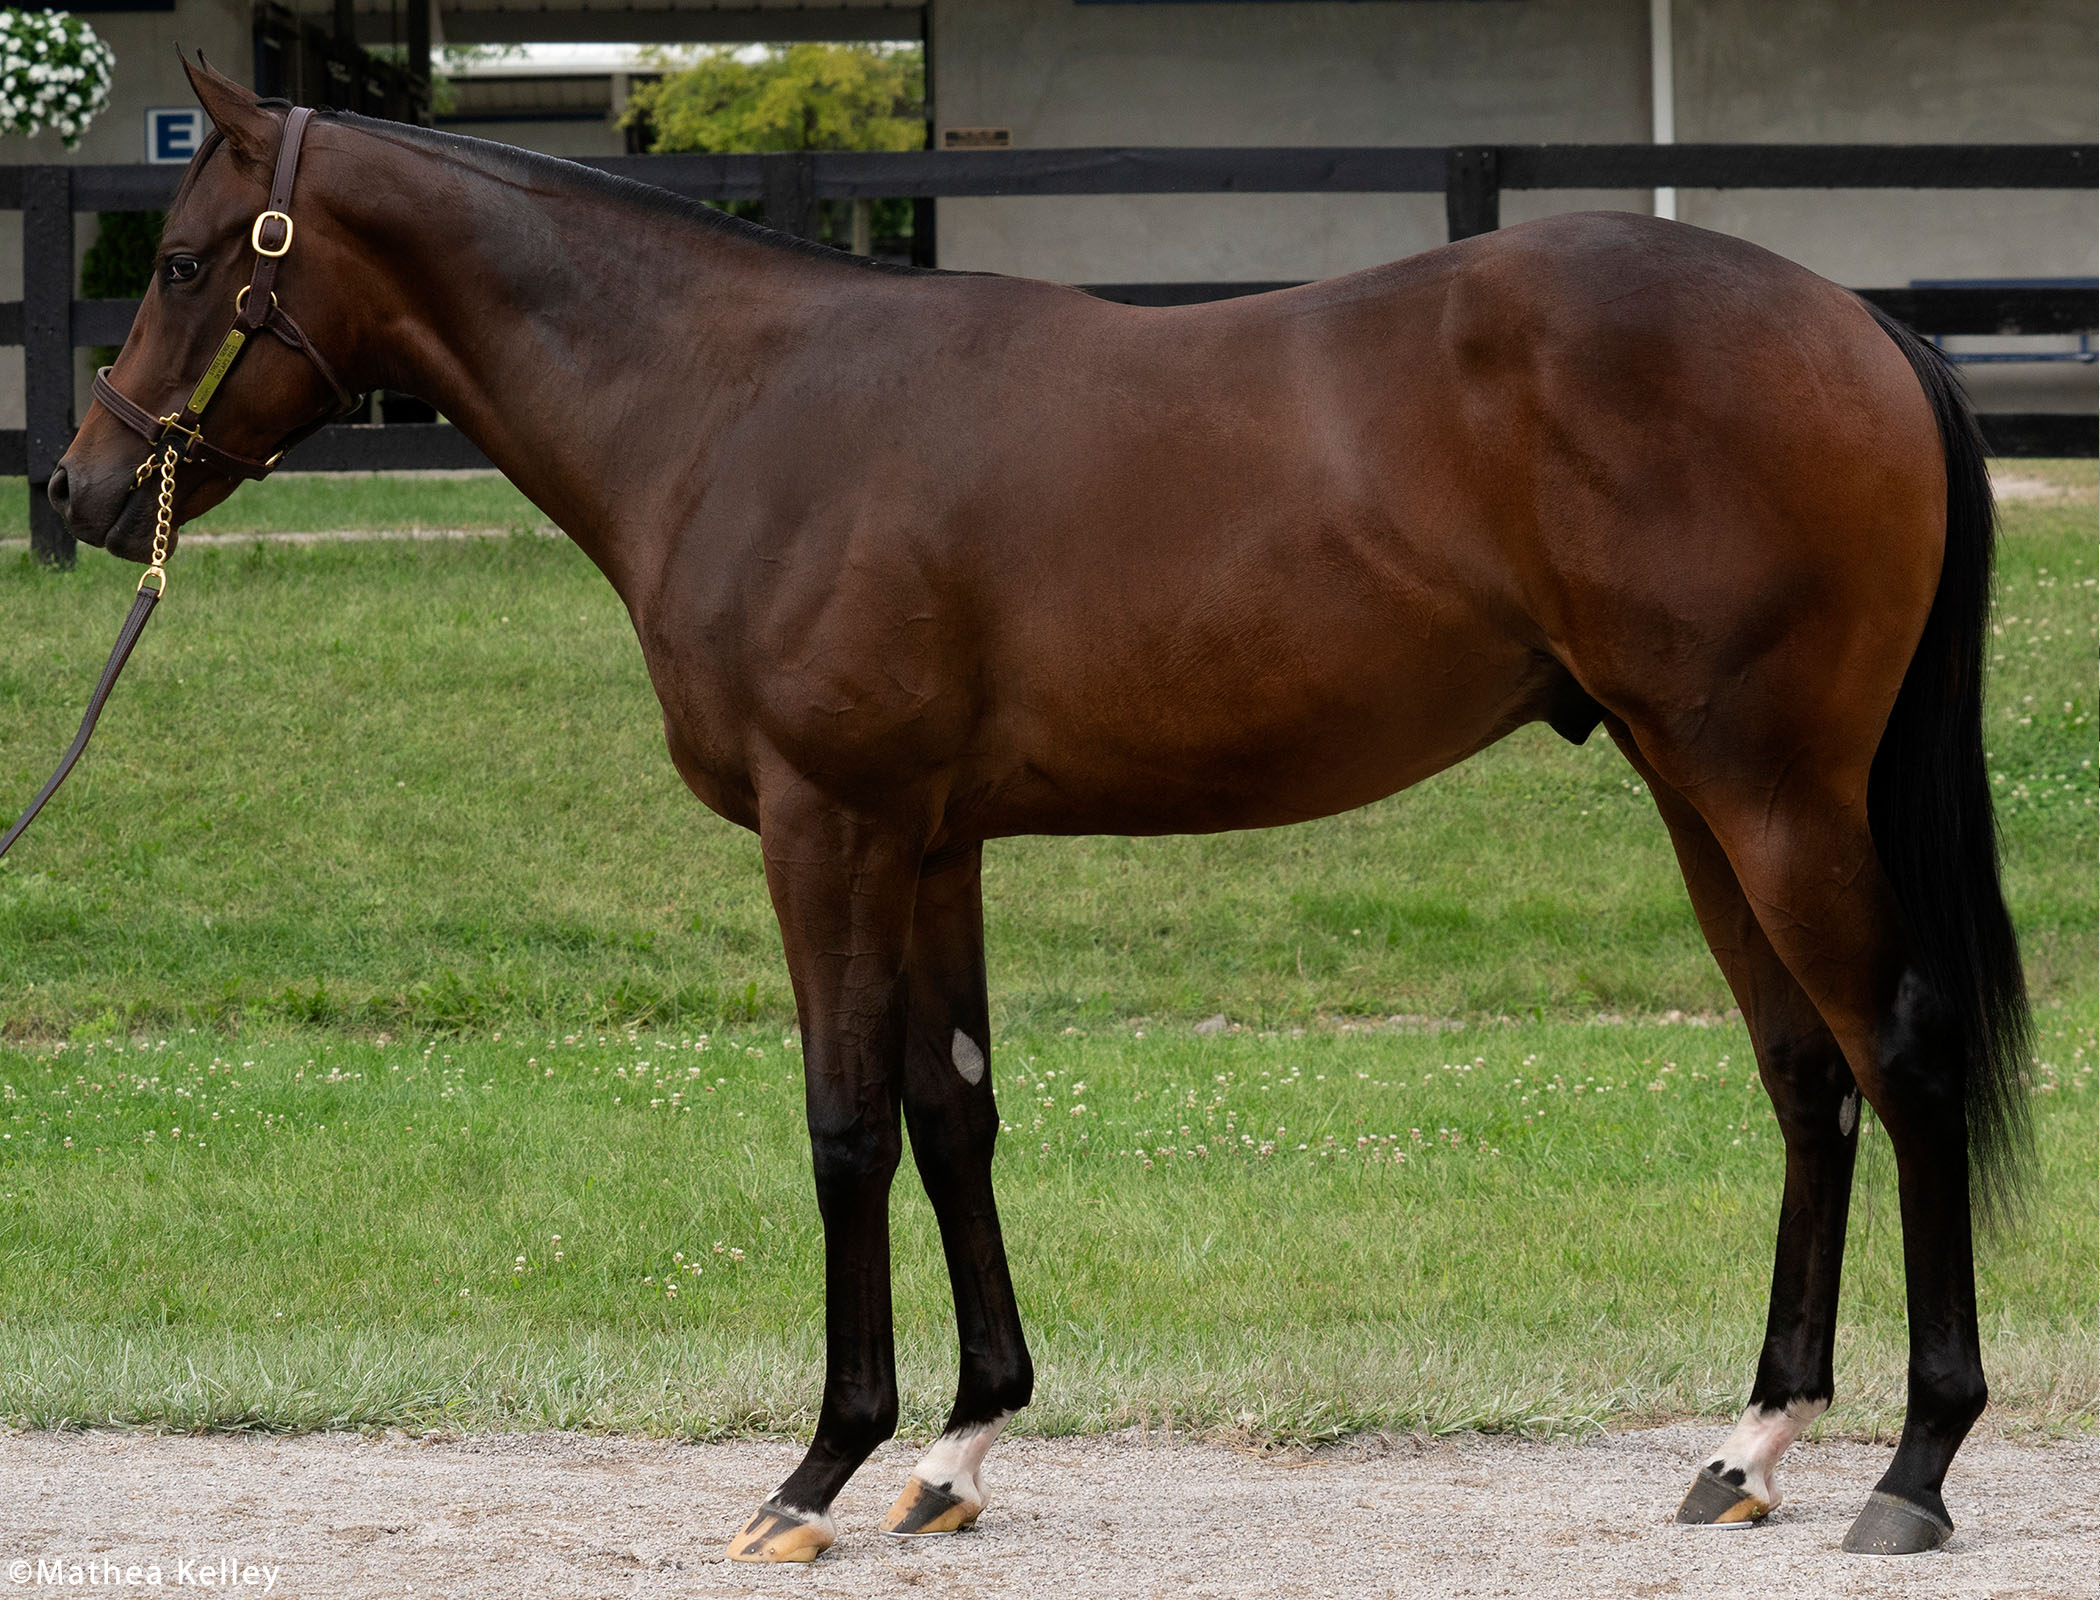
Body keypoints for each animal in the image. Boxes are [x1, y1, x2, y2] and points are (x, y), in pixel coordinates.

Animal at [45, 62, 2032, 1562]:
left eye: (189, 258)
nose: (79, 487)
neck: (733, 404)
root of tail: (1857, 325)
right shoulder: (932, 838)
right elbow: (955, 1115)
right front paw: (958, 1450)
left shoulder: (828, 825)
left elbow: (846, 1125)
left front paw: (817, 1470)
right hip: (1697, 789)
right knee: (1805, 1078)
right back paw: (1751, 1447)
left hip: (1766, 788)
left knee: (1901, 1052)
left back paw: (1916, 1467)